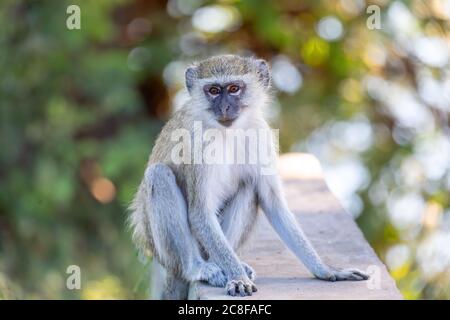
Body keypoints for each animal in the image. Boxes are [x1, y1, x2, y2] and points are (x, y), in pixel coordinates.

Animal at [128, 55, 368, 300]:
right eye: (213, 90)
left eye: (234, 89)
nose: (224, 106)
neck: (228, 131)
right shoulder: (196, 142)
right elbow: (200, 213)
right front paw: (238, 278)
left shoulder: (260, 134)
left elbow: (273, 204)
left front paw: (327, 270)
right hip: (163, 251)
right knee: (159, 176)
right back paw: (198, 267)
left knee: (249, 187)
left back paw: (223, 264)